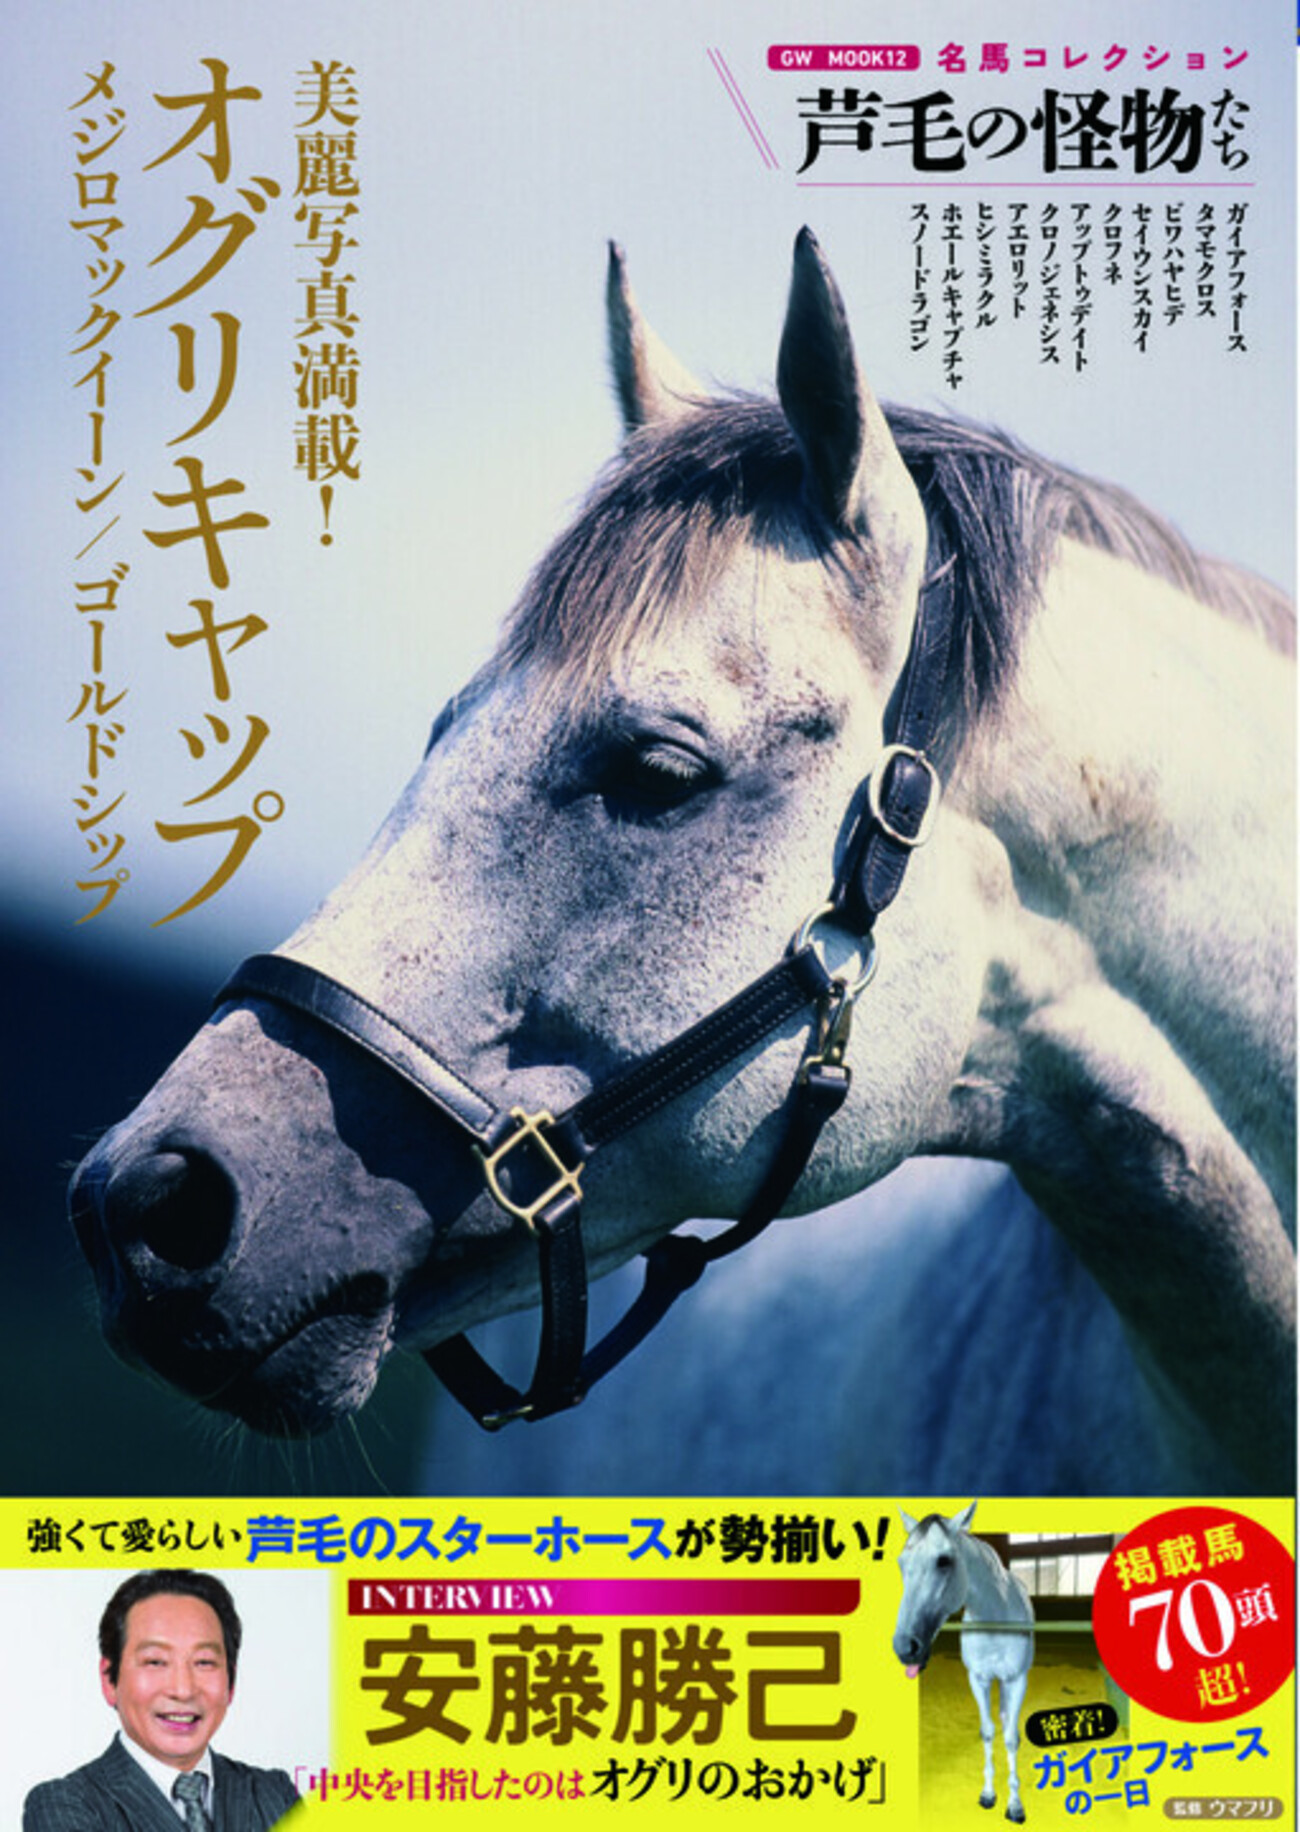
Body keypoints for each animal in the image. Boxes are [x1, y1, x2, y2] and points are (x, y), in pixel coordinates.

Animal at [893, 1502, 1034, 1822]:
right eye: (901, 1563)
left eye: (944, 1561)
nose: (905, 1648)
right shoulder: (978, 1679)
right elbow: (987, 1732)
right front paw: (988, 1794)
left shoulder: (1016, 1680)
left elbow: (1011, 1738)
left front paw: (1015, 1806)